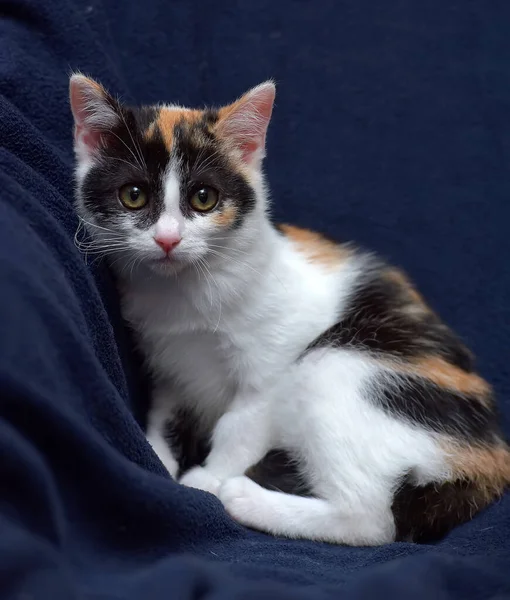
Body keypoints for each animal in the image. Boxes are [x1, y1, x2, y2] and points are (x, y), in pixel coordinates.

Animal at [70, 74, 510, 544]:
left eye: (204, 198)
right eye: (133, 195)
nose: (168, 239)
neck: (185, 293)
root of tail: (493, 456)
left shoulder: (274, 366)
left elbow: (239, 425)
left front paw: (208, 479)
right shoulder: (168, 362)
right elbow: (164, 414)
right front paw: (155, 460)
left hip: (338, 363)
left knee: (371, 521)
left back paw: (246, 498)